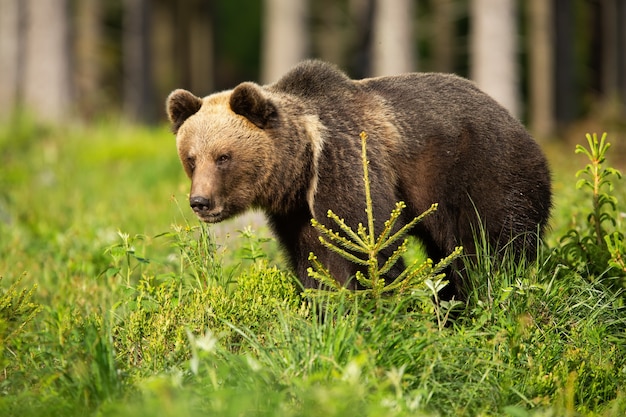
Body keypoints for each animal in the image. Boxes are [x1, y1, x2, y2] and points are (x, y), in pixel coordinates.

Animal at [166, 59, 552, 300]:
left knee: (488, 250)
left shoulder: (348, 168)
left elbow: (369, 244)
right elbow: (317, 262)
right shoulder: (298, 212)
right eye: (191, 159)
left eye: (223, 157)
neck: (302, 168)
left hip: (484, 172)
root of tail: (519, 124)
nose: (200, 202)